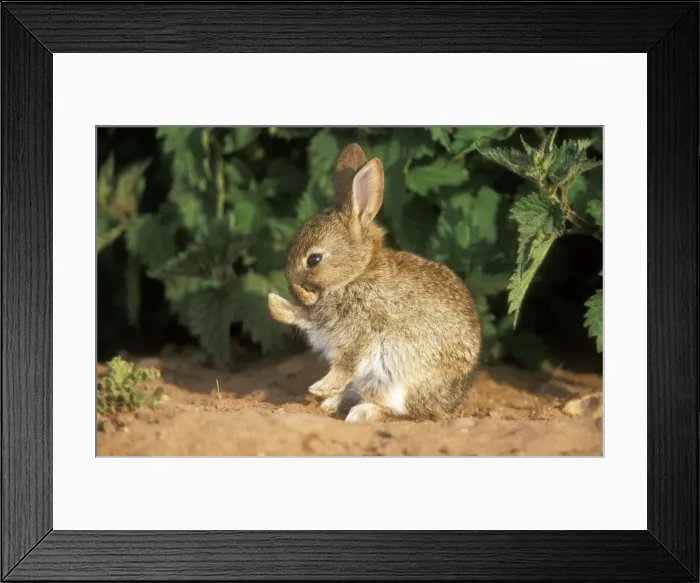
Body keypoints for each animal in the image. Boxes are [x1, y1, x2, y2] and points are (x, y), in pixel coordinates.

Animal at [267, 142, 482, 423]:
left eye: (314, 259)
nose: (294, 289)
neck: (356, 275)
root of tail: (451, 403)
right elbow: (302, 318)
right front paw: (274, 303)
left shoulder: (361, 332)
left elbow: (346, 363)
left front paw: (320, 387)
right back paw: (334, 403)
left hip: (399, 382)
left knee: (406, 413)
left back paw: (360, 412)